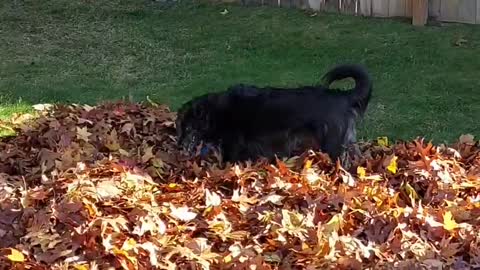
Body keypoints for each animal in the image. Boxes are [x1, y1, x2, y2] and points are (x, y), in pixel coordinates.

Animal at [174, 64, 374, 163]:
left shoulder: (234, 145)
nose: (178, 146)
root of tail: (343, 96)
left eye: (187, 127)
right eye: (179, 127)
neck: (217, 111)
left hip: (333, 144)